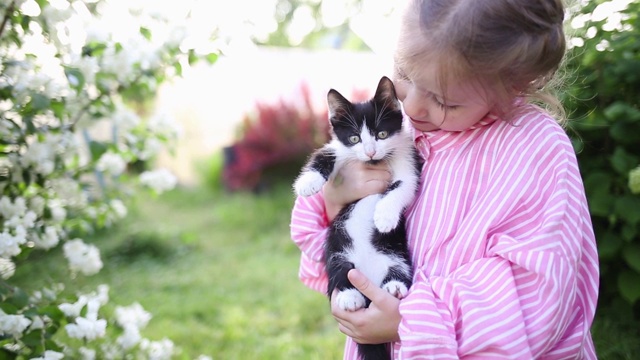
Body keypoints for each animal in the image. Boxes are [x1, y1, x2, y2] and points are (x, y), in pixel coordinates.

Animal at [292, 76, 420, 360]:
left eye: (381, 134)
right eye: (354, 138)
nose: (370, 152)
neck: (374, 163)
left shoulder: (407, 160)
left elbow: (403, 186)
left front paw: (384, 217)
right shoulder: (341, 150)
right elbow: (323, 155)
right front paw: (307, 183)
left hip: (397, 256)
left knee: (399, 271)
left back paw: (395, 287)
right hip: (337, 251)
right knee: (340, 274)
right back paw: (349, 297)